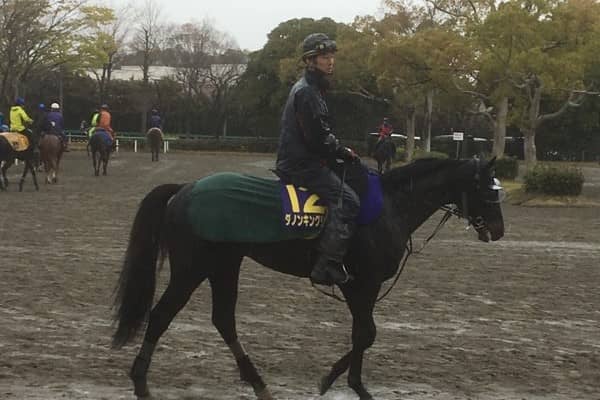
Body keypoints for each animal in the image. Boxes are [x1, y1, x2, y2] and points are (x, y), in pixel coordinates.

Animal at [112, 157, 505, 400]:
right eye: (488, 191)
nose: (499, 230)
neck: (391, 206)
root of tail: (185, 188)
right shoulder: (360, 283)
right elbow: (366, 333)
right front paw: (348, 383)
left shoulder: (360, 286)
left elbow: (364, 334)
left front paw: (334, 379)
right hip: (193, 268)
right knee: (161, 315)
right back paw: (141, 383)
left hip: (224, 265)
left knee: (223, 319)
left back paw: (258, 384)